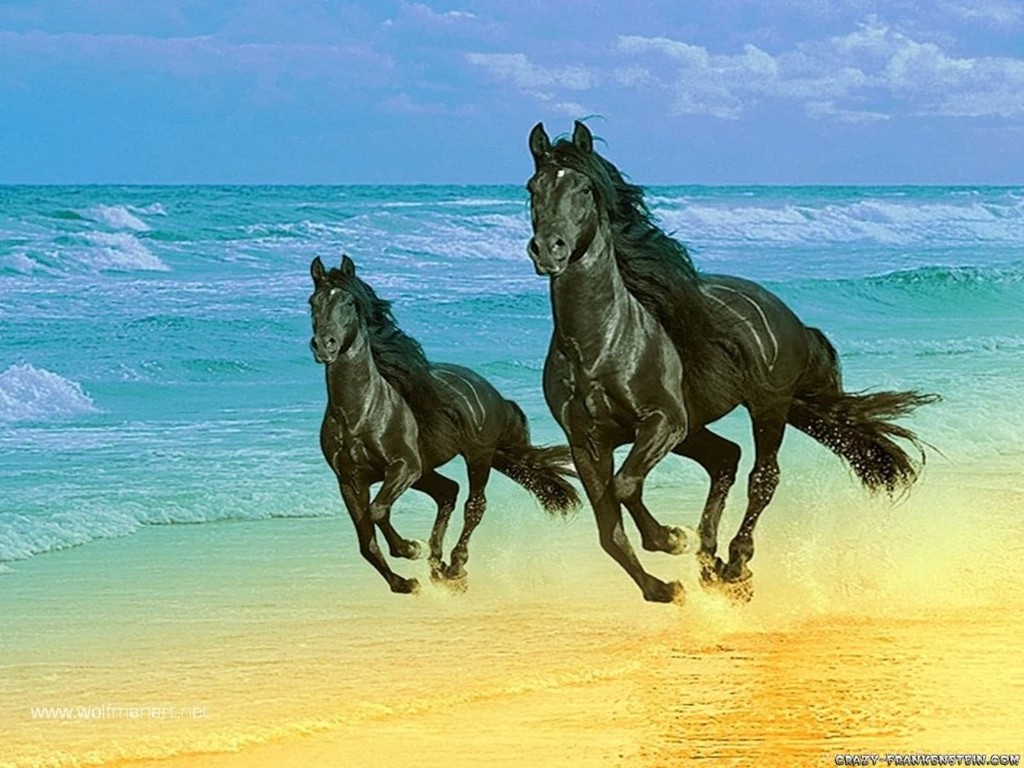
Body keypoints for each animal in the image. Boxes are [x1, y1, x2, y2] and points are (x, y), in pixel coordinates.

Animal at [309, 254, 580, 594]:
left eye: (348, 302)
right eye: (312, 302)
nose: (324, 345)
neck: (360, 415)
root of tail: (492, 392)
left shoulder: (403, 466)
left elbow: (377, 511)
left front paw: (409, 548)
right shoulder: (350, 481)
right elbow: (366, 541)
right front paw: (404, 583)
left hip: (476, 457)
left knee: (474, 505)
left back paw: (455, 567)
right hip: (427, 470)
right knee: (448, 492)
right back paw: (437, 566)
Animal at [525, 121, 938, 603]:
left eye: (585, 188)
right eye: (533, 188)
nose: (548, 250)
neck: (598, 346)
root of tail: (786, 315)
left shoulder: (663, 421)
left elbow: (625, 486)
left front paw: (671, 538)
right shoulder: (587, 443)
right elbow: (609, 529)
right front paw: (663, 587)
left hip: (766, 407)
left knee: (763, 476)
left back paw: (735, 565)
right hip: (697, 428)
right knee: (725, 458)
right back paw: (710, 562)